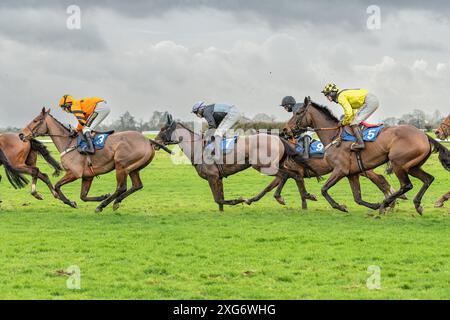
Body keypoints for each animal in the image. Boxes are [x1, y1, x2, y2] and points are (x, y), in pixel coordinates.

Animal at [20, 108, 158, 212]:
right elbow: (83, 196)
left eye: (35, 120)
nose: (21, 134)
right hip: (133, 168)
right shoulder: (87, 176)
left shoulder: (74, 173)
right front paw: (102, 196)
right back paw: (114, 202)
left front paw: (70, 202)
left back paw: (102, 206)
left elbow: (57, 186)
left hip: (121, 165)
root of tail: (148, 141)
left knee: (121, 187)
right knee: (137, 185)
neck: (69, 143)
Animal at [155, 114, 316, 211]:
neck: (198, 148)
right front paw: (222, 212)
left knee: (287, 175)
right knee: (294, 175)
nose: (155, 143)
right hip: (277, 164)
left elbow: (218, 199)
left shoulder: (212, 177)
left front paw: (241, 199)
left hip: (264, 166)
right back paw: (302, 197)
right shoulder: (217, 178)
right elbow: (219, 200)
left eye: (163, 129)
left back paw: (298, 197)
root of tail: (278, 138)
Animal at [284, 96, 450, 214]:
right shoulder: (352, 173)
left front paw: (340, 206)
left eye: (298, 113)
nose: (285, 130)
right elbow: (357, 198)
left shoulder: (340, 170)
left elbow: (324, 189)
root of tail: (424, 135)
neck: (334, 137)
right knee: (428, 179)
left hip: (398, 163)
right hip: (412, 166)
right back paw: (416, 204)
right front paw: (371, 205)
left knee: (406, 185)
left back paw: (386, 203)